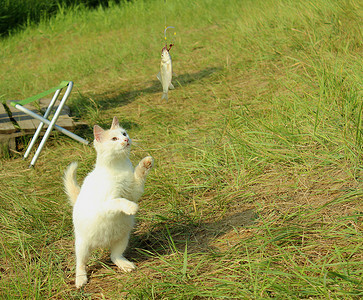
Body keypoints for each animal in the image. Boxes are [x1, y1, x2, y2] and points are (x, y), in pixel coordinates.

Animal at [63, 116, 153, 288]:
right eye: (114, 139)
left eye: (124, 133)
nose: (126, 139)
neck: (119, 166)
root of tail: (103, 243)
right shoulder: (104, 205)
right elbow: (119, 201)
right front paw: (131, 207)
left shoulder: (134, 191)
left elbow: (138, 175)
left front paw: (146, 162)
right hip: (82, 246)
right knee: (80, 264)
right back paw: (80, 279)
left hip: (122, 238)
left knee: (114, 256)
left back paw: (125, 265)